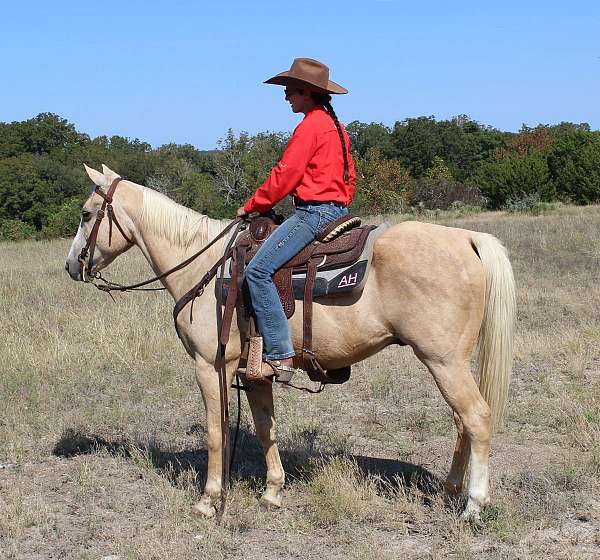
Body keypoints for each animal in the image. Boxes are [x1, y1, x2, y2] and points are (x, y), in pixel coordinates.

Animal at [64, 163, 516, 520]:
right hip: (449, 364)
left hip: (443, 361)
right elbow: (266, 428)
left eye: (86, 214)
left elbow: (216, 432)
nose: (71, 266)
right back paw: (450, 491)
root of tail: (465, 239)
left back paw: (474, 505)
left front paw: (209, 501)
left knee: (476, 418)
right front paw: (272, 492)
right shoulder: (254, 372)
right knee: (461, 422)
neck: (204, 265)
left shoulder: (210, 365)